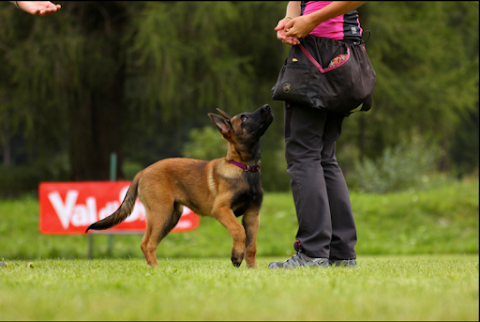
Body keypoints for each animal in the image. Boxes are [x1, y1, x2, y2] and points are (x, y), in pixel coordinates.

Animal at [86, 104, 274, 268]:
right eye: (244, 118)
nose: (267, 106)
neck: (245, 167)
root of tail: (142, 171)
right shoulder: (221, 209)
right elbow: (239, 231)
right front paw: (236, 256)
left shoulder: (252, 215)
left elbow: (252, 244)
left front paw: (253, 267)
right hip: (162, 213)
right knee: (148, 244)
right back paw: (157, 269)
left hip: (170, 216)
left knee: (146, 243)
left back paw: (152, 267)